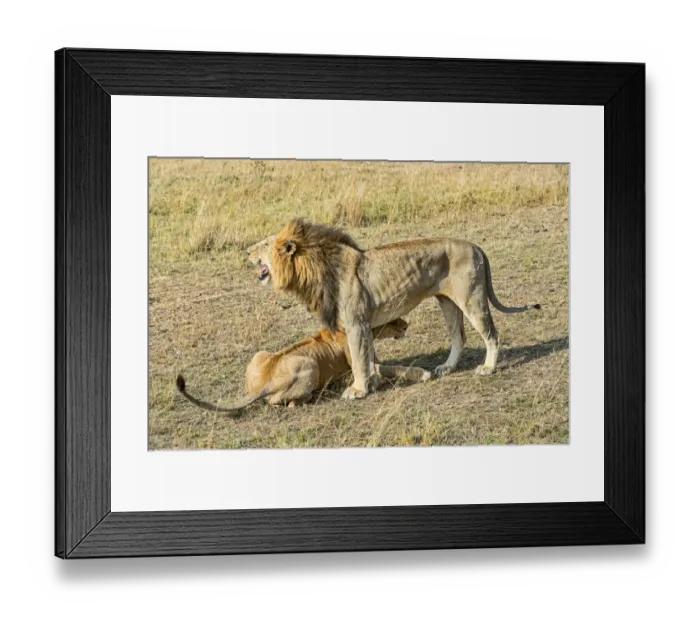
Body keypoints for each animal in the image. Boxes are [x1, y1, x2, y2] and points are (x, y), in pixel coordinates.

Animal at [176, 317, 431, 412]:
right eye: (393, 318)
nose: (406, 325)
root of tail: (264, 383)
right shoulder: (368, 369)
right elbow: (397, 368)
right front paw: (424, 373)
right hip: (310, 363)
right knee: (284, 402)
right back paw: (317, 394)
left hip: (260, 354)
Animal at [247, 219, 541, 400]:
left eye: (263, 244)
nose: (246, 251)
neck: (315, 269)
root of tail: (475, 246)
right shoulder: (362, 325)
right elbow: (366, 358)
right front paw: (371, 383)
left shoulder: (356, 323)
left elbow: (359, 360)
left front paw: (358, 390)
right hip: (447, 301)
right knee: (459, 337)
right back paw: (446, 368)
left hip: (471, 298)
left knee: (492, 335)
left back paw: (488, 368)